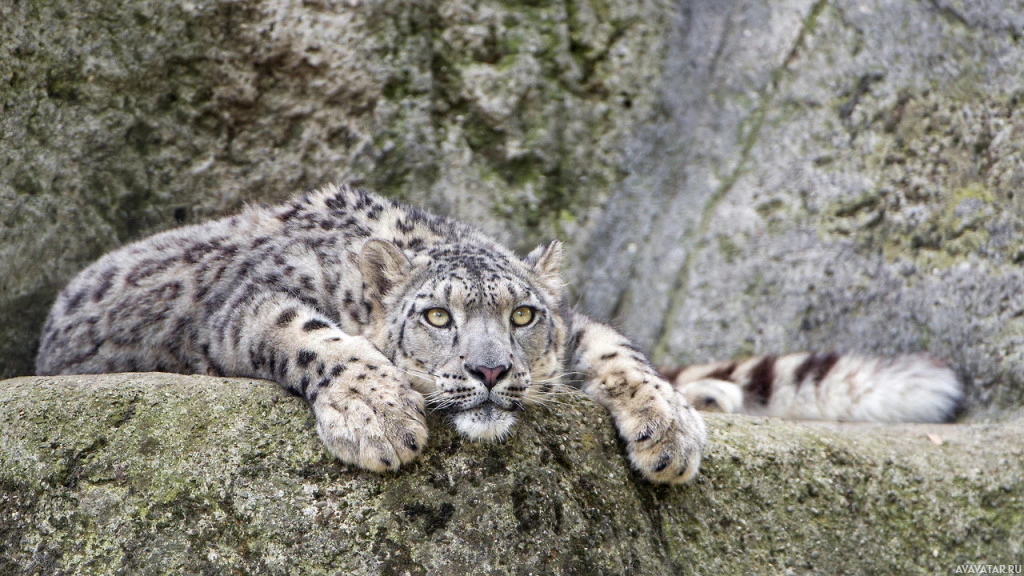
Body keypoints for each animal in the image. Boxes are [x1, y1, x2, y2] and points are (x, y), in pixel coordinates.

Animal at [34, 181, 704, 481]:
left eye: (523, 315)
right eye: (437, 316)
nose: (490, 370)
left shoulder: (574, 330)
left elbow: (614, 345)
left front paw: (671, 429)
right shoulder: (246, 305)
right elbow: (303, 331)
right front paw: (377, 415)